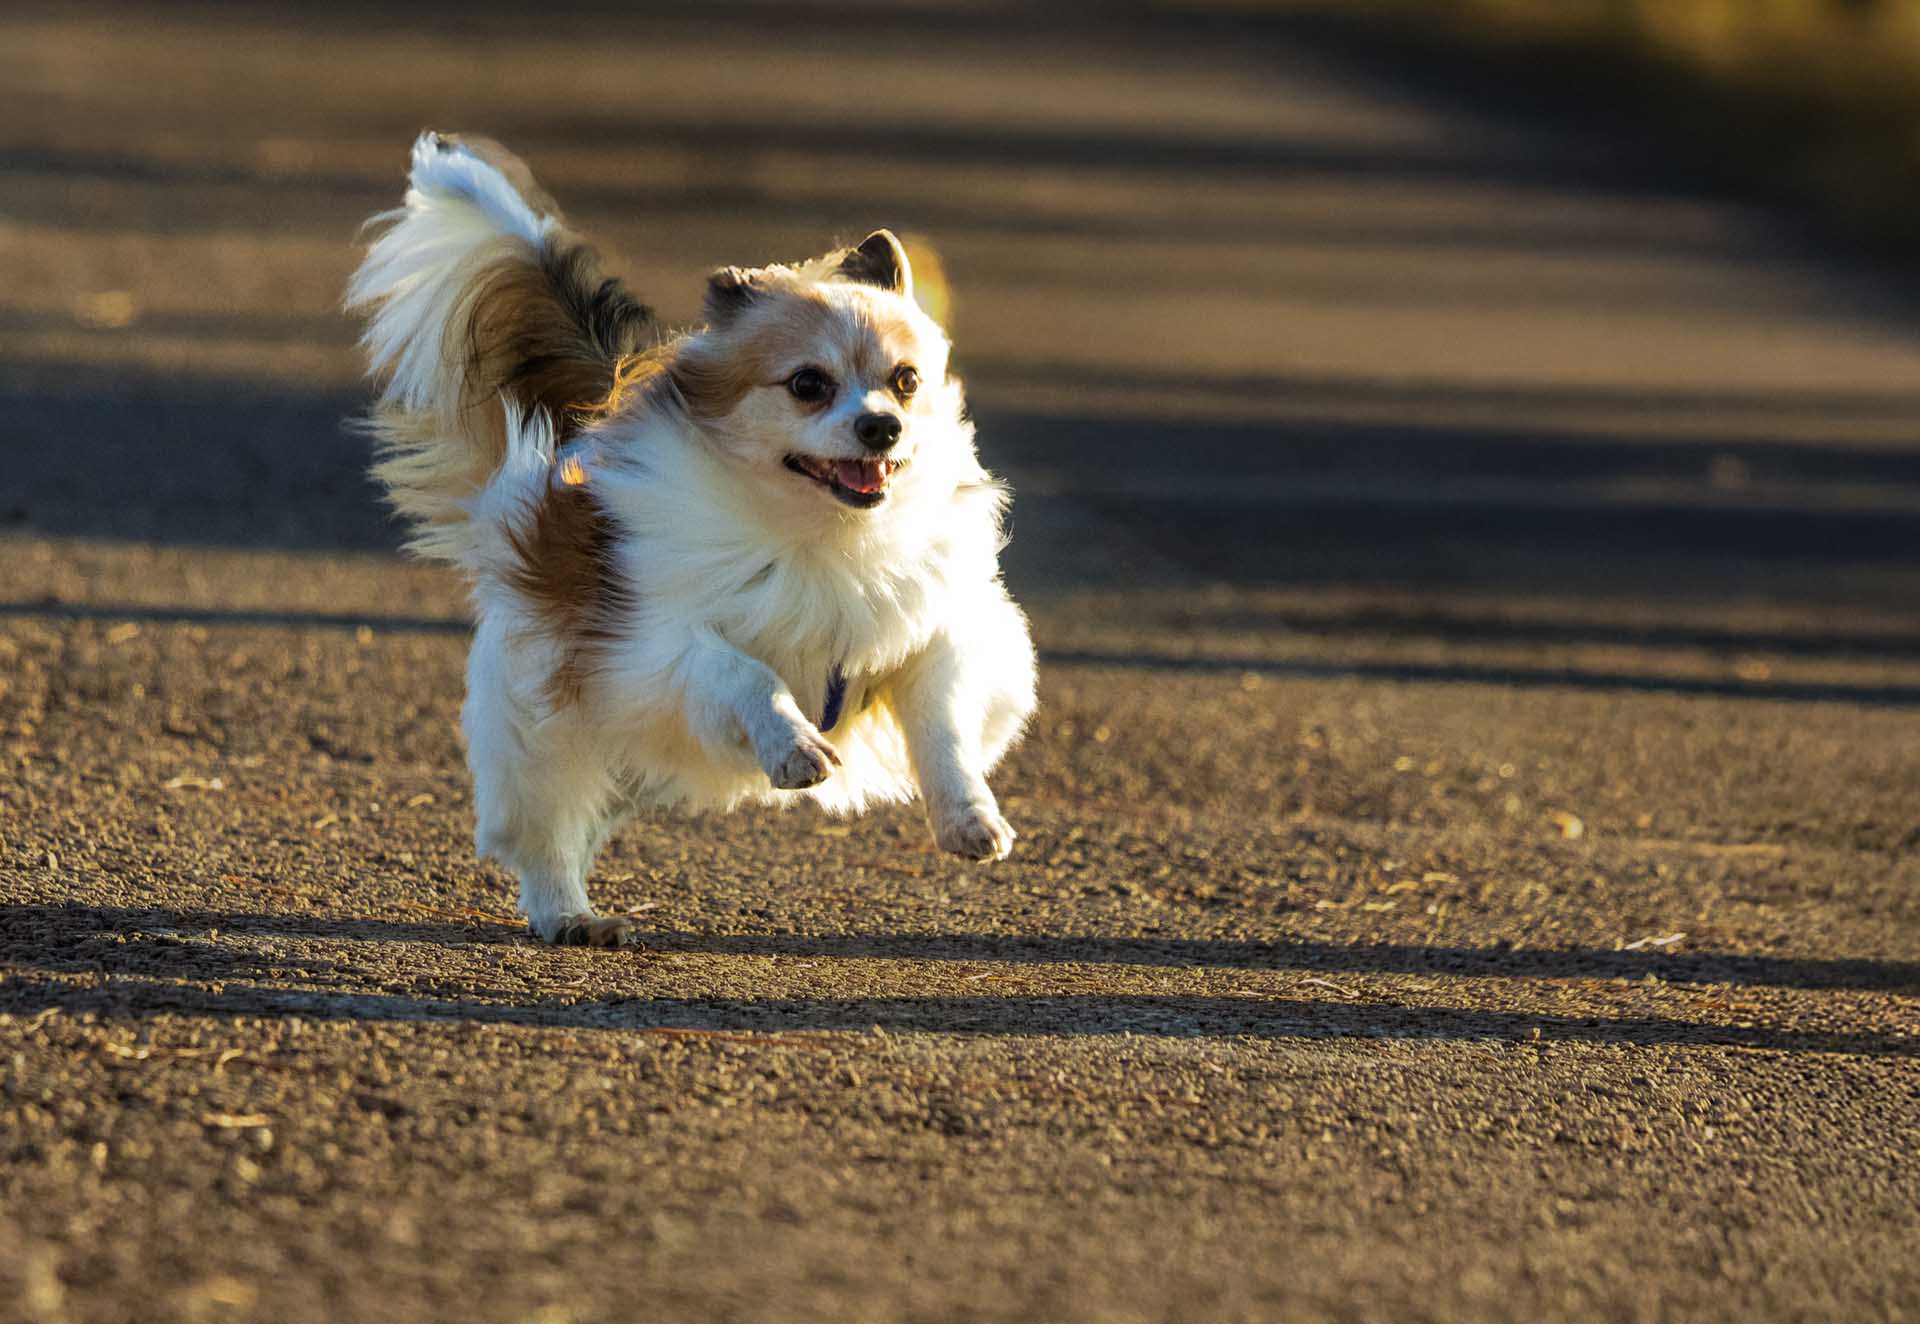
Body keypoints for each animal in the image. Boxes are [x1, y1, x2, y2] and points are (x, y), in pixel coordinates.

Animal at [346, 133, 1037, 946]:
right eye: (808, 384)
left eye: (905, 381)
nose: (882, 427)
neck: (815, 536)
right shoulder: (653, 651)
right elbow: (747, 674)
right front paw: (794, 746)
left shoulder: (927, 635)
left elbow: (944, 729)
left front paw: (969, 817)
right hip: (545, 721)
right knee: (545, 830)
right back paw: (568, 914)